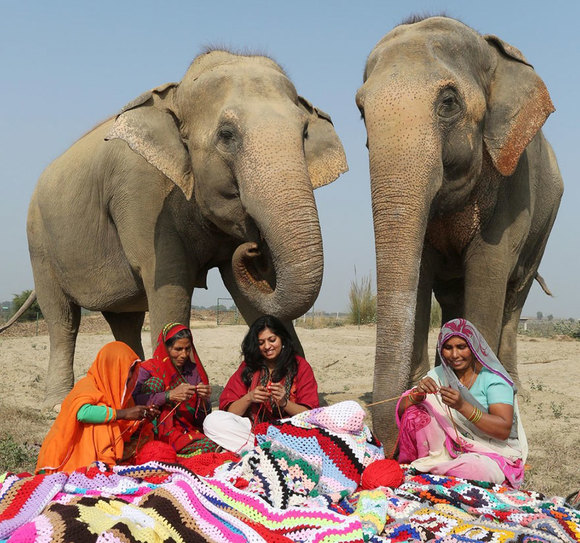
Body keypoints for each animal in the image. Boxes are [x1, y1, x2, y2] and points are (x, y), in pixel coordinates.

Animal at [27, 50, 346, 408]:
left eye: (304, 133)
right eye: (226, 135)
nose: (254, 248)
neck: (177, 94)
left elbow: (254, 295)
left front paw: (309, 405)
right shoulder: (143, 196)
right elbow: (171, 286)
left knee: (125, 320)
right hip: (39, 241)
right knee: (62, 319)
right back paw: (57, 402)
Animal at [356, 17, 564, 448]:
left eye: (448, 102)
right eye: (361, 111)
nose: (388, 435)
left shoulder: (514, 182)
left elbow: (488, 269)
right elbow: (421, 272)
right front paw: (423, 386)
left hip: (548, 220)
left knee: (514, 295)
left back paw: (515, 385)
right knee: (453, 297)